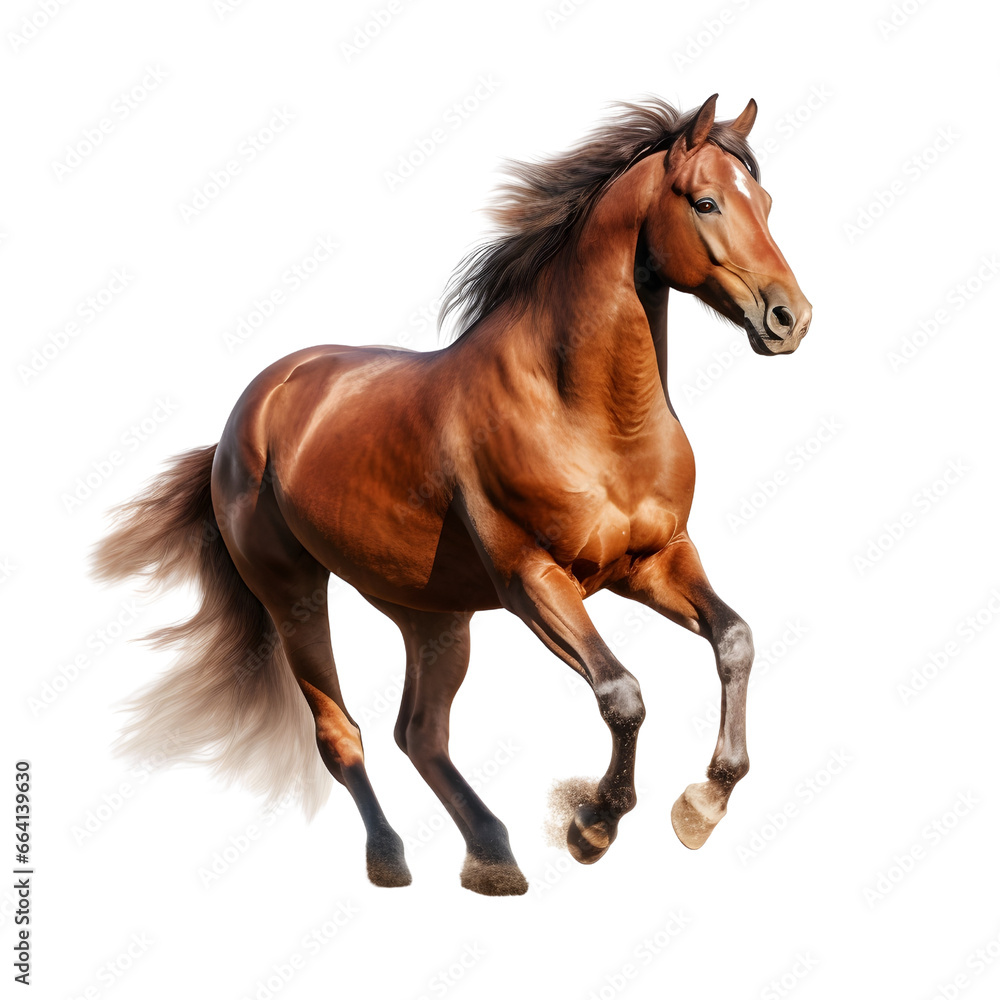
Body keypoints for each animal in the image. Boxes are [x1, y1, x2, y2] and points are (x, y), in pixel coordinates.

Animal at [94, 94, 812, 896]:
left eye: (767, 203)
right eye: (706, 201)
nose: (790, 318)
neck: (587, 414)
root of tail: (248, 411)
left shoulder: (652, 562)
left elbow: (735, 640)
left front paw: (702, 805)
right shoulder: (534, 579)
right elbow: (622, 694)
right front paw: (591, 825)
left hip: (431, 615)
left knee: (420, 732)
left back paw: (492, 856)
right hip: (294, 593)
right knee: (343, 733)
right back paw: (392, 858)